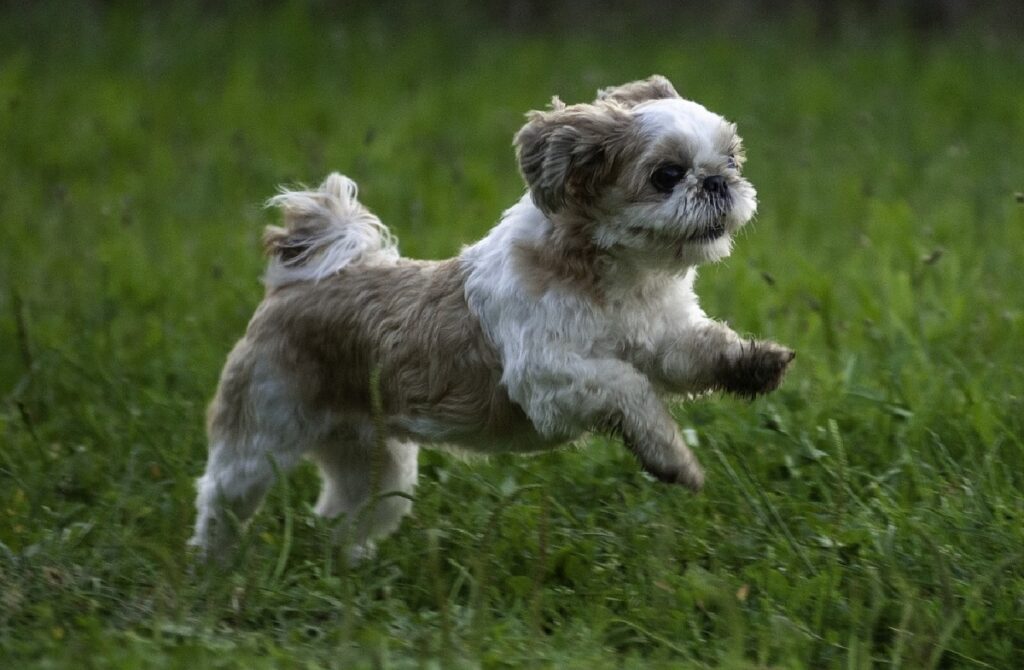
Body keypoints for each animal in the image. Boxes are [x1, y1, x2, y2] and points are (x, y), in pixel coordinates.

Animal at [193, 76, 798, 565]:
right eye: (667, 175)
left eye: (732, 160)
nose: (717, 181)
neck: (615, 278)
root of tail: (296, 283)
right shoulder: (550, 377)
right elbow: (631, 392)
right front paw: (671, 460)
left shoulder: (661, 336)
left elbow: (698, 352)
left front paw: (754, 364)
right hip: (261, 434)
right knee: (221, 497)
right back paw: (214, 567)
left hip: (376, 463)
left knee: (347, 513)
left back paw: (349, 568)